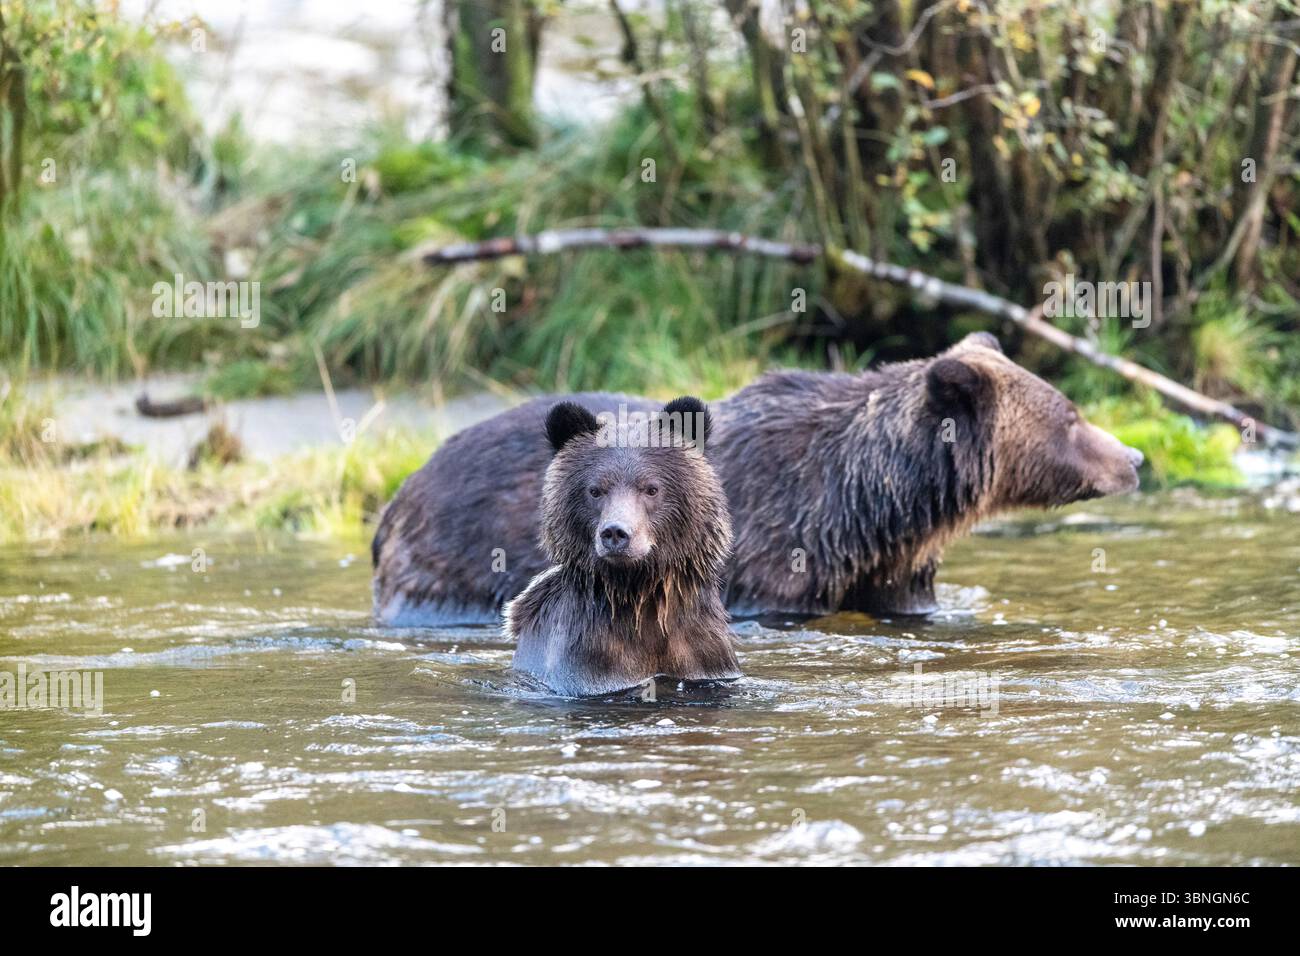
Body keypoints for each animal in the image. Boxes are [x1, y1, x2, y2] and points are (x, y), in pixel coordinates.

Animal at [372, 332, 1143, 624]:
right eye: (1072, 415)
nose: (1135, 459)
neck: (873, 502)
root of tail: (401, 487)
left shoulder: (892, 563)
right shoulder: (775, 558)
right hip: (455, 556)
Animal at [504, 397, 740, 696]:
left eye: (651, 488)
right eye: (595, 490)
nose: (615, 533)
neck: (639, 593)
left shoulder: (703, 655)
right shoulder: (588, 665)